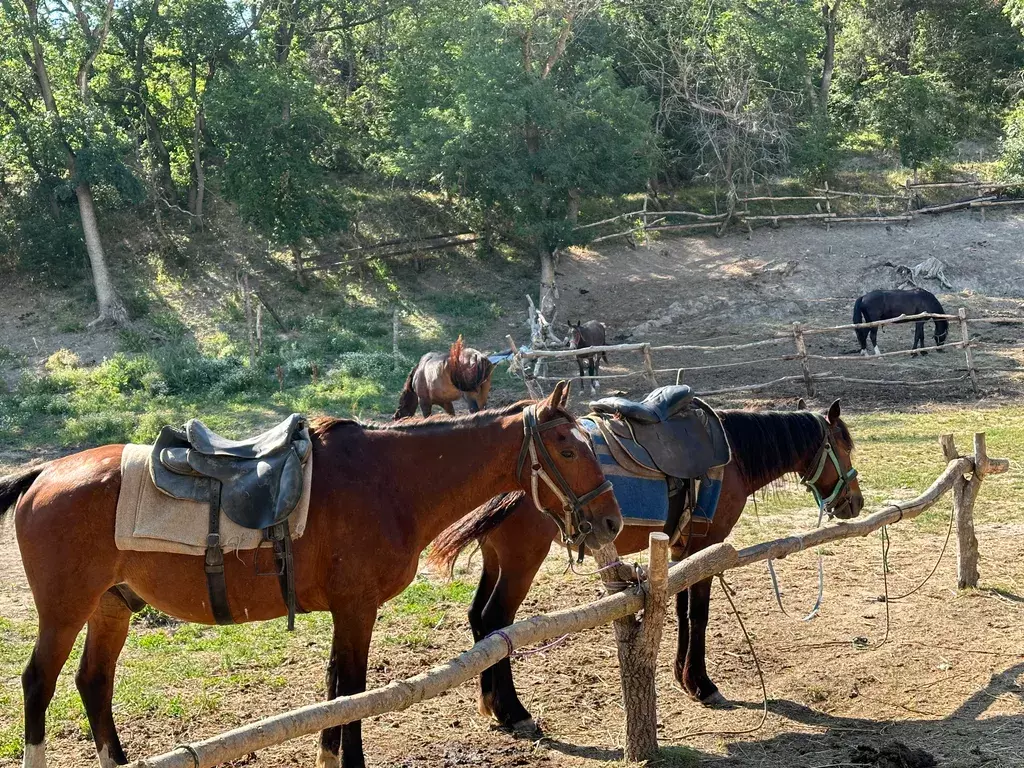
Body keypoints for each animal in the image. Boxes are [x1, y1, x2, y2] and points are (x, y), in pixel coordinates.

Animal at [2, 382, 622, 768]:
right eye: (569, 448)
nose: (612, 519)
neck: (389, 481)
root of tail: (43, 474)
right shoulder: (357, 609)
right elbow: (351, 692)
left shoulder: (349, 612)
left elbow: (336, 690)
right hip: (65, 612)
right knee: (39, 683)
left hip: (111, 606)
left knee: (93, 682)